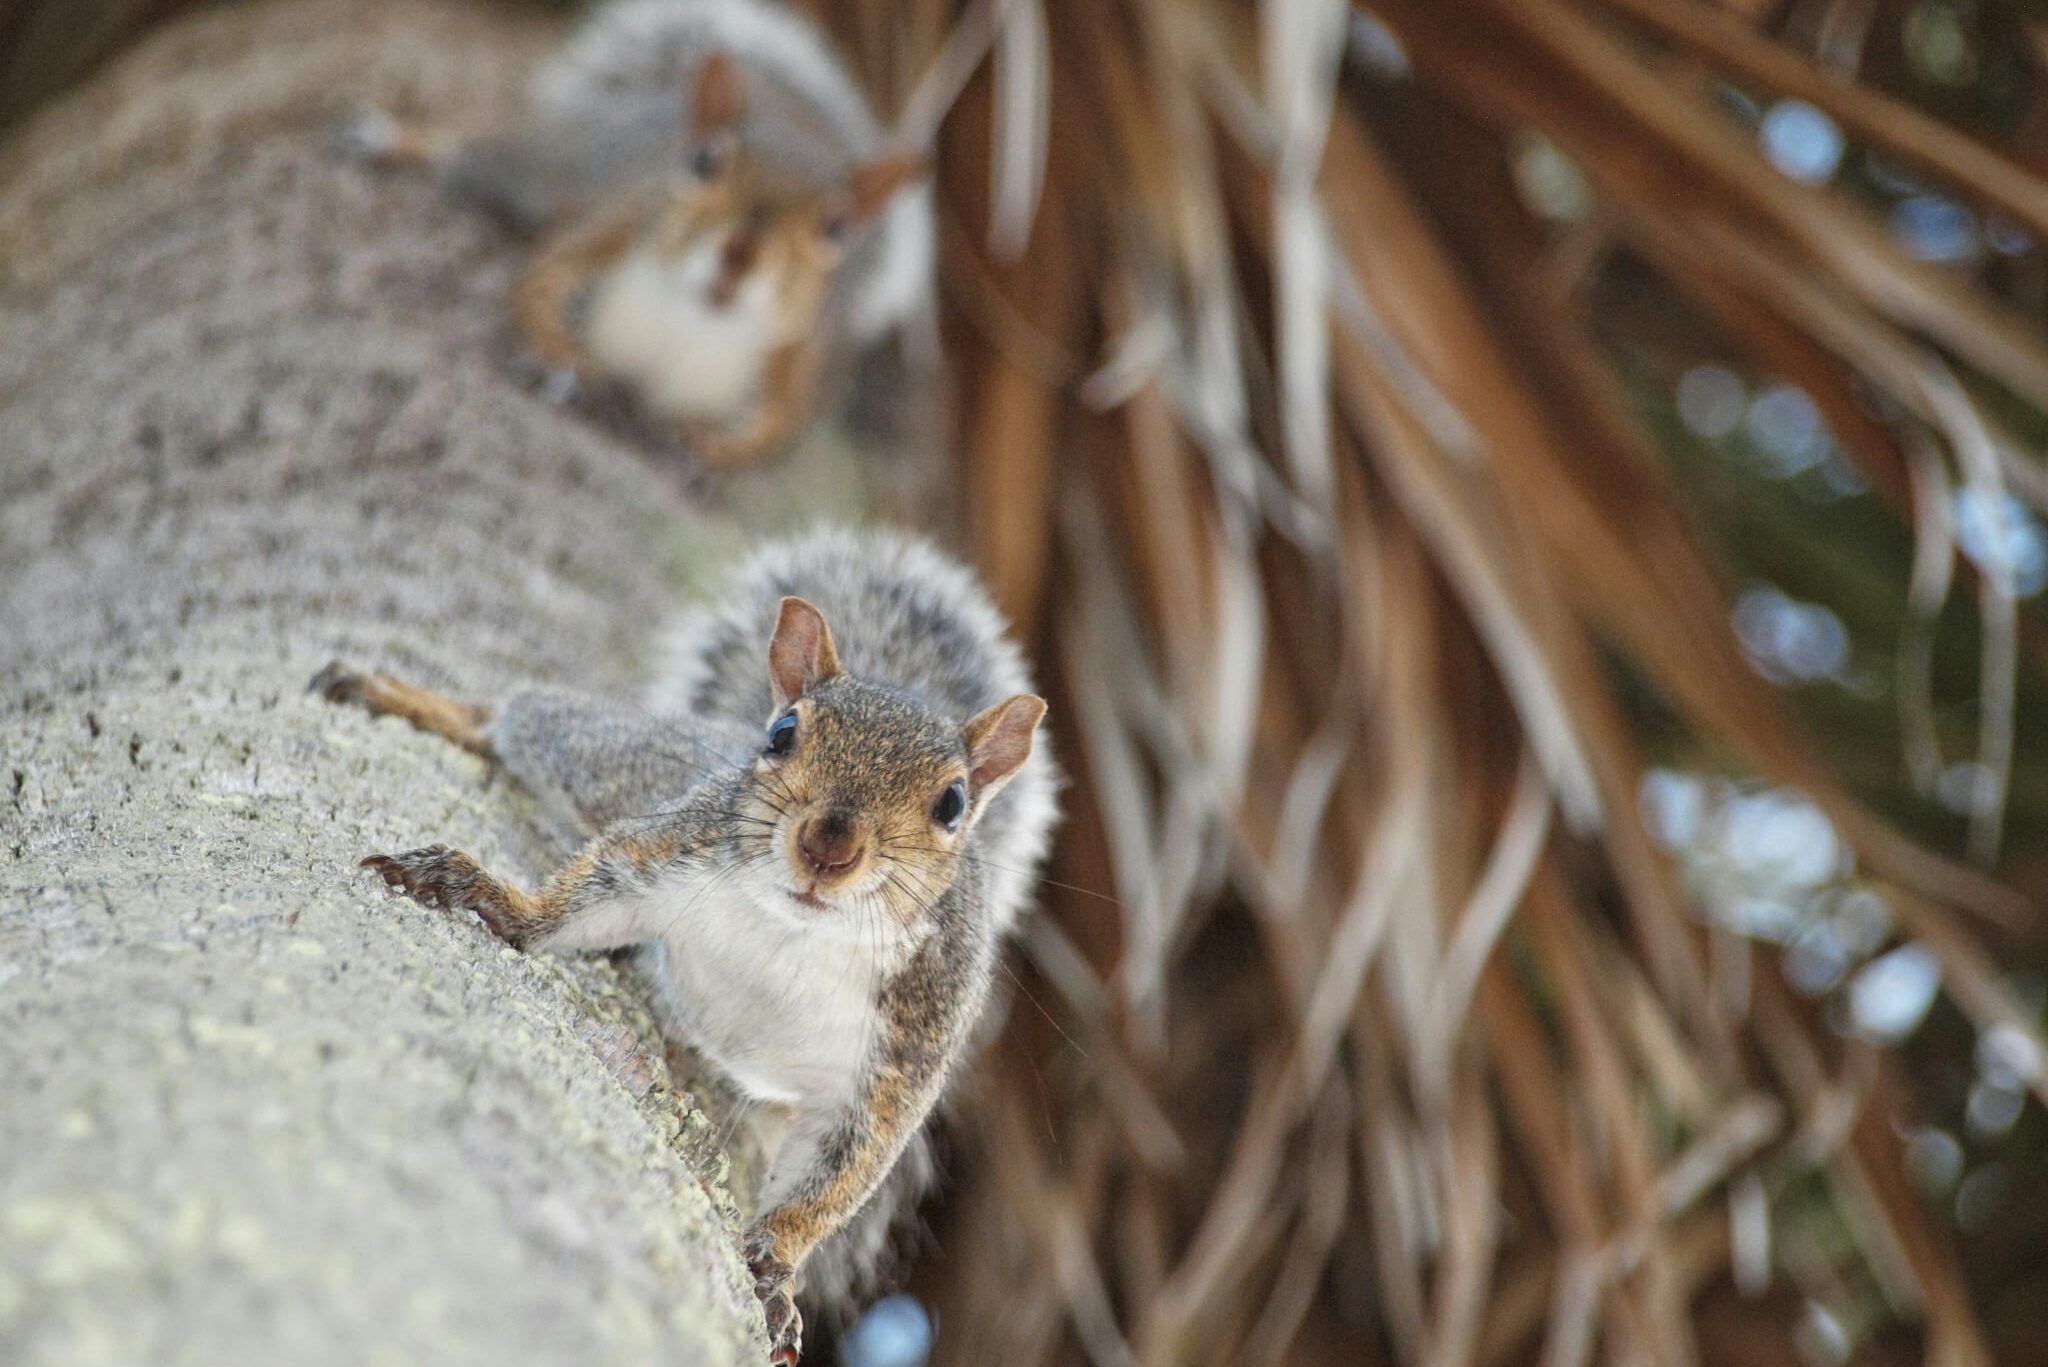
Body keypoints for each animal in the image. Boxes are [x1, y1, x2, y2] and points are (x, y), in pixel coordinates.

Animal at [311, 528, 1057, 1365]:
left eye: (952, 803)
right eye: (783, 734)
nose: (827, 847)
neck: (798, 931)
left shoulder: (899, 1056)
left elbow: (833, 1181)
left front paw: (775, 1271)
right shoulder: (669, 852)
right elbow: (575, 900)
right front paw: (493, 898)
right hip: (618, 764)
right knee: (526, 717)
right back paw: (398, 694)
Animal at [342, 0, 935, 466]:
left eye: (835, 228)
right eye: (702, 162)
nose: (740, 256)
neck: (692, 317)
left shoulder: (806, 349)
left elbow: (779, 422)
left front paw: (714, 450)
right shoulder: (612, 226)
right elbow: (538, 287)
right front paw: (564, 357)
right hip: (550, 177)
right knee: (475, 159)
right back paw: (390, 138)